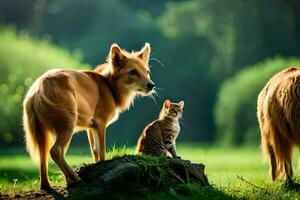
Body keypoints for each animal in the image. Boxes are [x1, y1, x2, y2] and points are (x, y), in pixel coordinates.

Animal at [23, 42, 155, 189]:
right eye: (133, 72)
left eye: (147, 72)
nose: (151, 85)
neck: (109, 86)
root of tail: (39, 87)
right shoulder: (100, 123)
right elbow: (102, 152)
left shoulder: (90, 127)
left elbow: (95, 151)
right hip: (67, 124)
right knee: (55, 151)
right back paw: (76, 179)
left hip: (42, 132)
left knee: (45, 154)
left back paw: (48, 185)